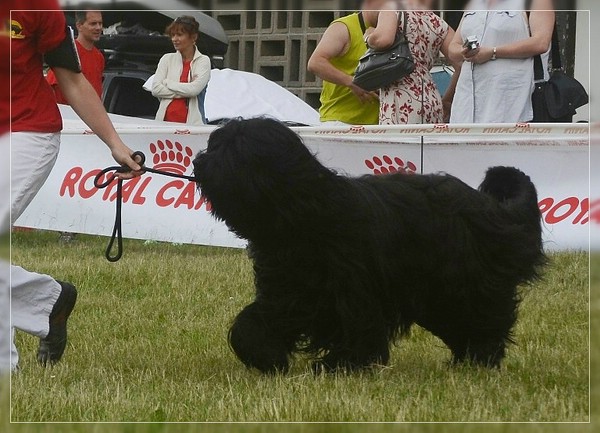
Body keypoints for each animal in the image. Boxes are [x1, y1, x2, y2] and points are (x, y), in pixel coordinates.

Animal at [195, 117, 548, 372]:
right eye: (214, 143)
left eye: (228, 149)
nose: (198, 162)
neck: (306, 216)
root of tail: (489, 209)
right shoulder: (288, 290)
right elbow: (254, 321)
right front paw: (268, 357)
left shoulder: (353, 288)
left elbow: (358, 326)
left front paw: (343, 364)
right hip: (436, 295)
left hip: (459, 283)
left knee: (485, 318)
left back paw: (481, 358)